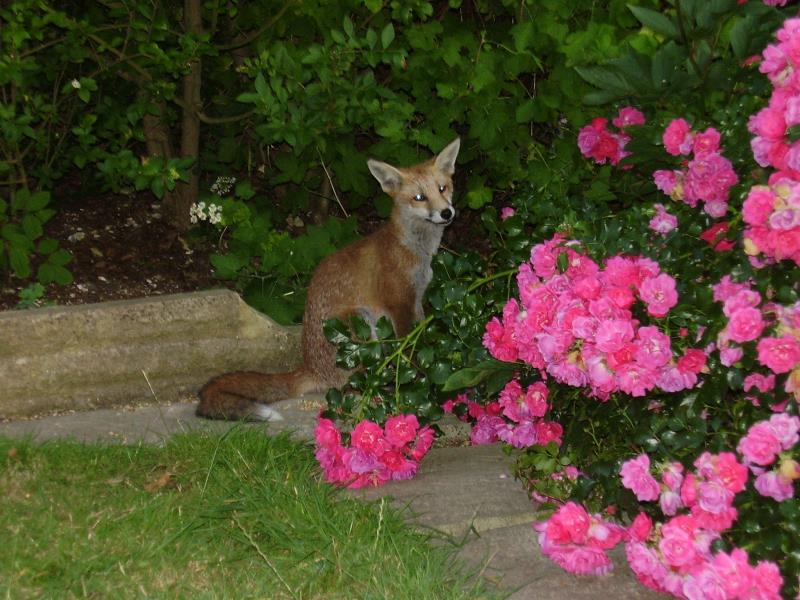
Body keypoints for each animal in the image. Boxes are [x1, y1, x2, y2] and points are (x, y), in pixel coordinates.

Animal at [195, 138, 462, 420]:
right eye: (419, 197)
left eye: (443, 188)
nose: (446, 213)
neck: (413, 250)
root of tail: (312, 367)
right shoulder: (398, 304)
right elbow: (409, 350)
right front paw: (416, 380)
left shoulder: (417, 300)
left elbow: (422, 340)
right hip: (358, 324)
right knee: (351, 382)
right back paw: (376, 389)